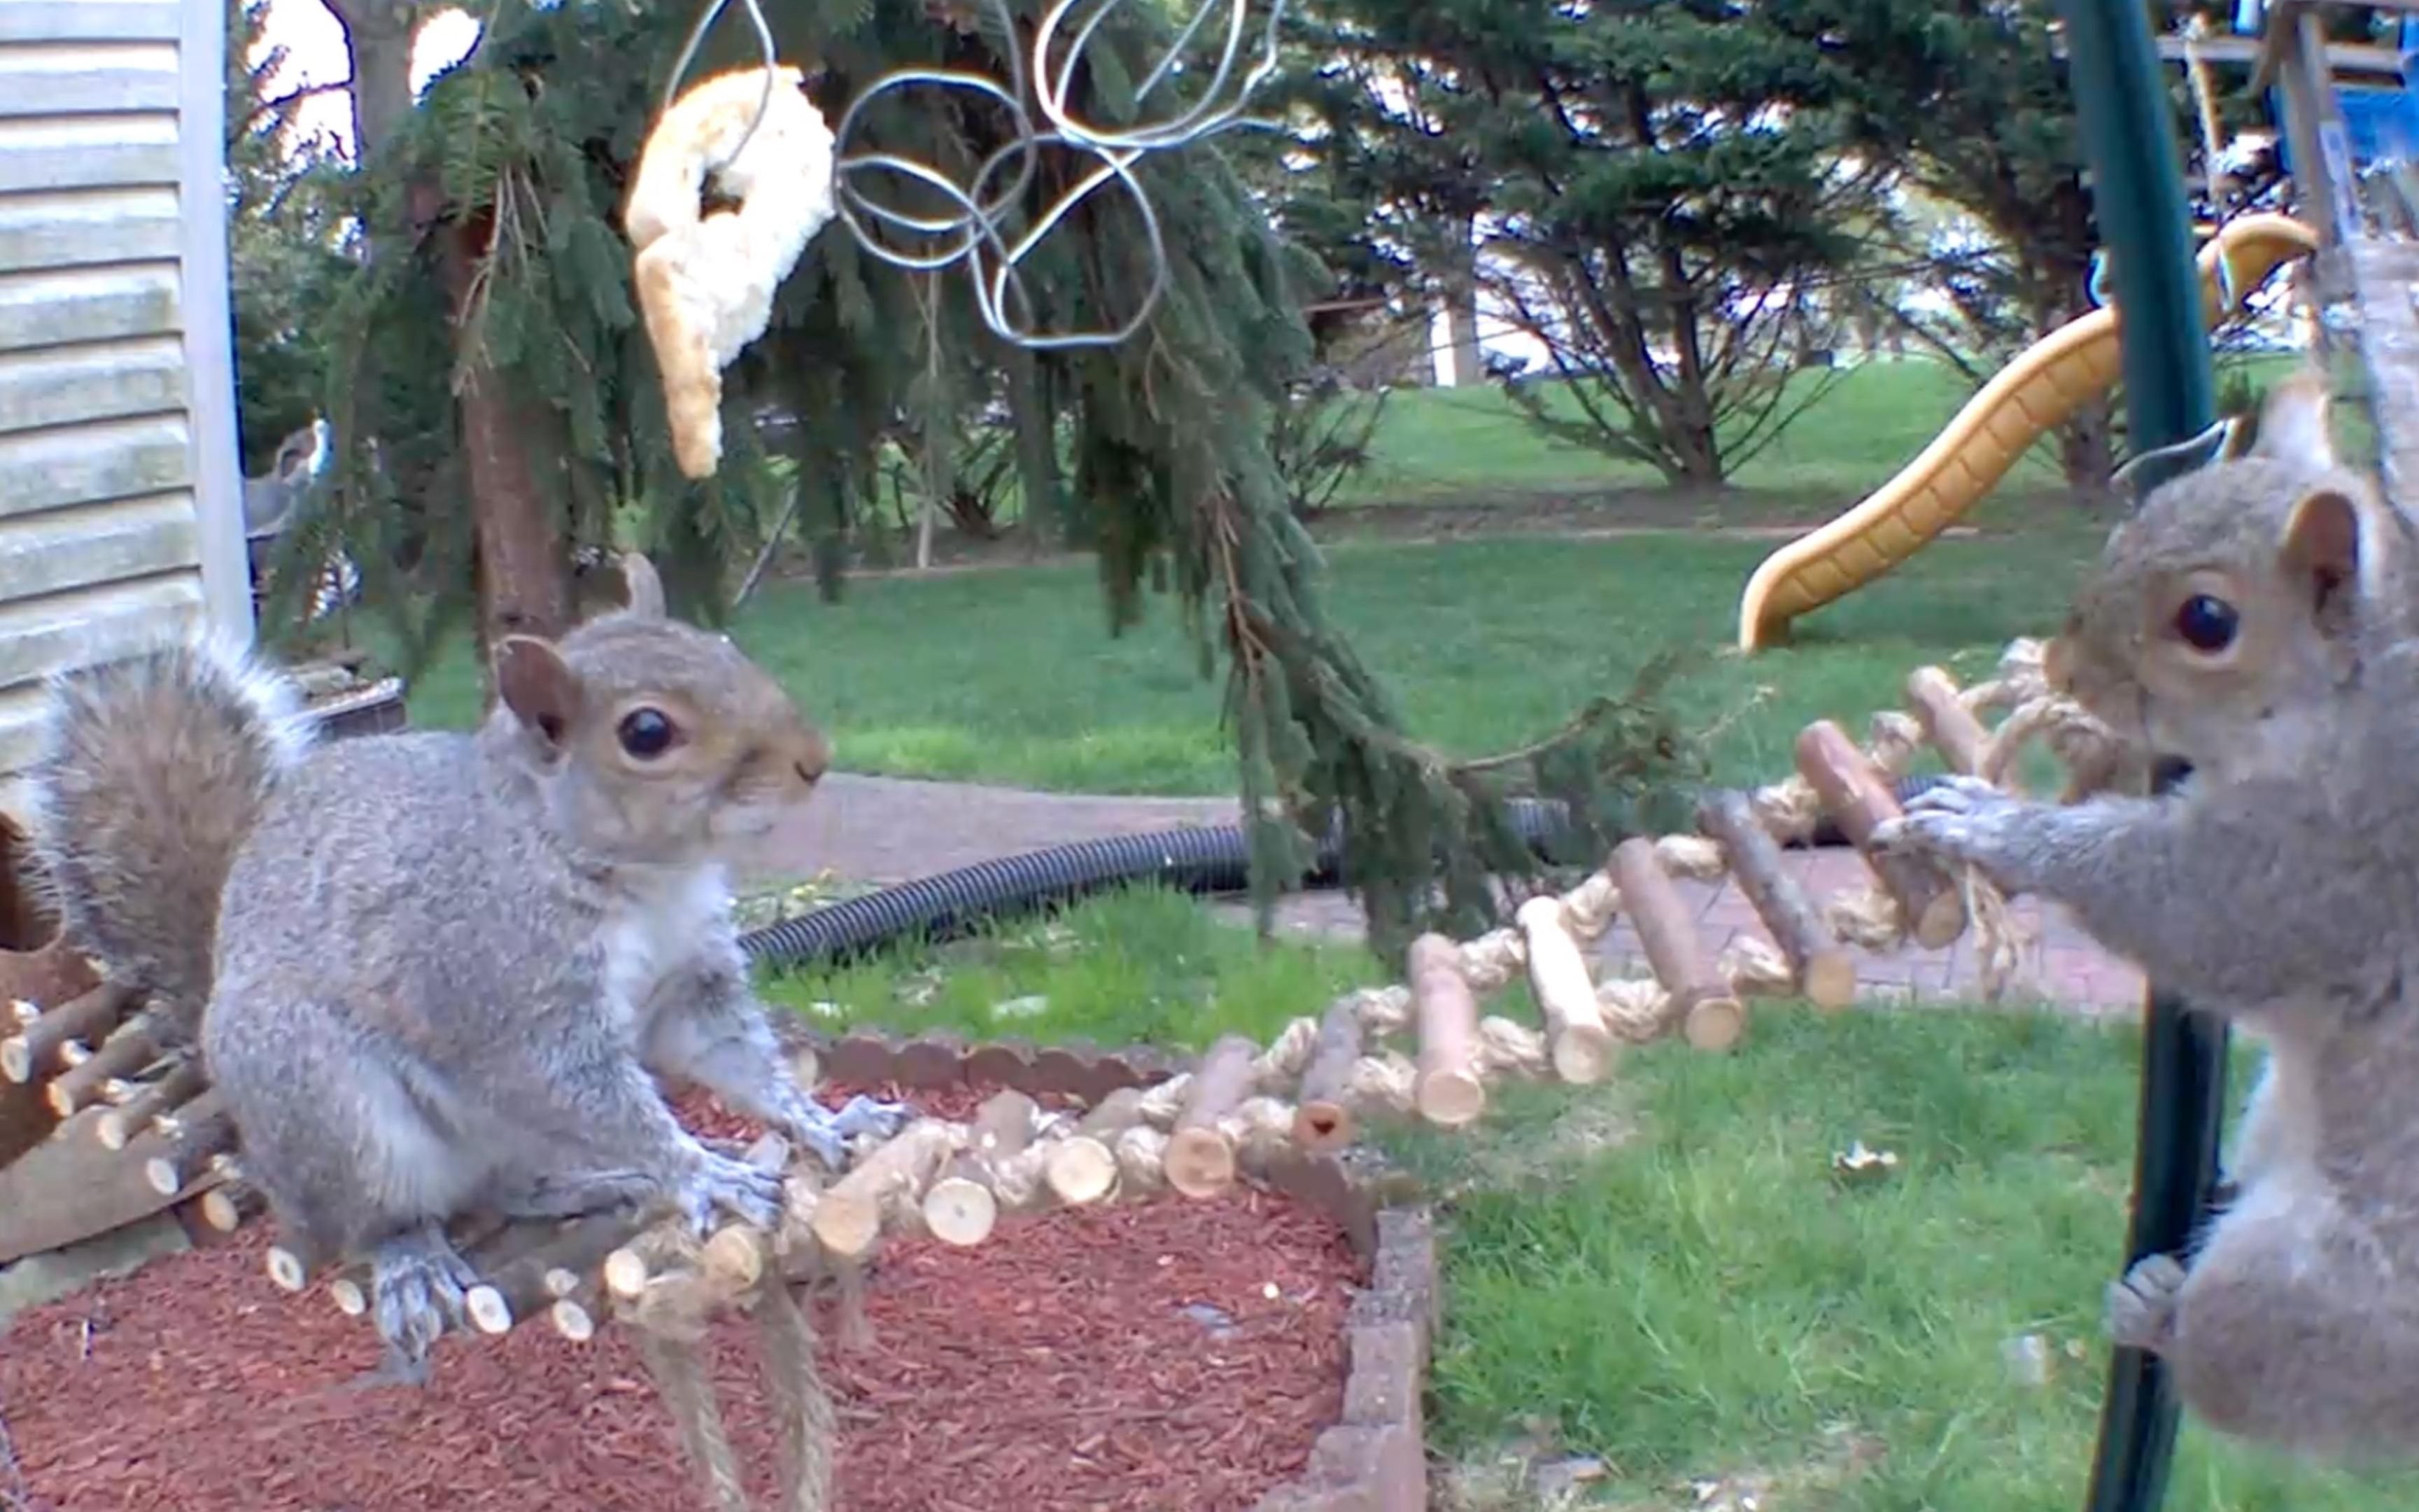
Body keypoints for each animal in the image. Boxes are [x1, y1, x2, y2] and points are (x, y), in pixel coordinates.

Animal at [21, 556, 900, 1383]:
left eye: (723, 646)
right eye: (647, 732)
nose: (814, 760)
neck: (639, 876)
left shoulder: (689, 978)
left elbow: (735, 1057)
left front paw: (820, 1121)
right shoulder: (502, 989)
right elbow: (584, 1089)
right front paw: (703, 1171)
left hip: (501, 1143)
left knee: (504, 1188)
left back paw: (590, 1184)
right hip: (330, 1105)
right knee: (376, 1219)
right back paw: (411, 1254)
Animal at [1877, 372, 2419, 1461]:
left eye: (2206, 619)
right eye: (2140, 519)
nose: (2062, 665)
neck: (2356, 690)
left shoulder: (2324, 857)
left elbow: (2179, 907)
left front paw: (1997, 824)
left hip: (2301, 1299)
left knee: (2235, 1366)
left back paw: (2156, 1314)